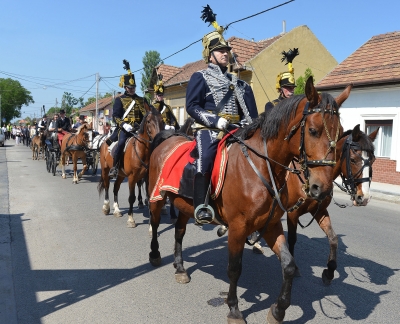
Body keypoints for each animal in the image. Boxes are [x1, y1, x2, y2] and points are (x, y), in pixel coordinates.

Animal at [147, 78, 350, 324]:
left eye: (340, 133)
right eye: (313, 130)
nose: (322, 188)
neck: (261, 166)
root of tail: (167, 138)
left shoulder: (271, 225)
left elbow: (289, 265)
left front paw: (278, 310)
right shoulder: (238, 227)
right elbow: (234, 268)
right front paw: (234, 309)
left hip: (185, 205)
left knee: (179, 231)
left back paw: (180, 268)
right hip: (157, 198)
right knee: (155, 223)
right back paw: (155, 255)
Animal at [286, 123, 376, 284]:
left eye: (372, 161)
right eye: (353, 160)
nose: (364, 197)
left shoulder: (320, 211)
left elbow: (333, 239)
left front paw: (330, 271)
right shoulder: (292, 213)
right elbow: (292, 238)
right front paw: (294, 268)